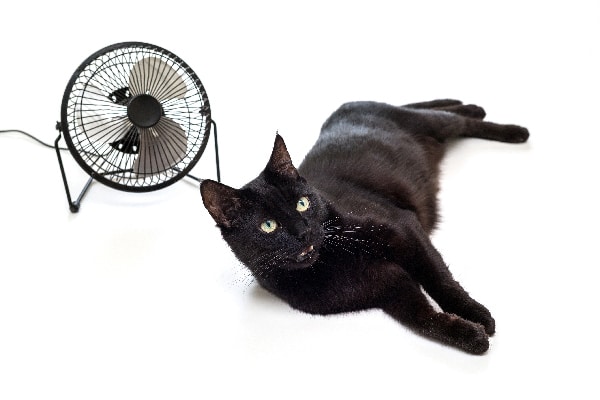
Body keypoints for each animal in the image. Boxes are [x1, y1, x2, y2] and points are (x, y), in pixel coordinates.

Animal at [202, 99, 528, 354]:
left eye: (302, 204)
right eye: (268, 225)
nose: (303, 231)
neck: (334, 261)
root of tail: (348, 106)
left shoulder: (404, 229)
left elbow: (439, 278)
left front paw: (476, 314)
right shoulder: (387, 286)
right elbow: (424, 320)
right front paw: (470, 336)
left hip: (431, 124)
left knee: (457, 121)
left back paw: (507, 127)